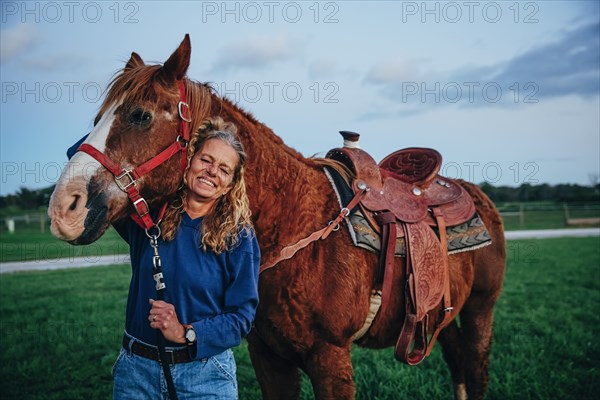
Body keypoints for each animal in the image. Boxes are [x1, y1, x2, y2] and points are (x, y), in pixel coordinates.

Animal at [49, 36, 504, 398]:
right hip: (440, 317)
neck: (291, 229)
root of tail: (477, 196)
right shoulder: (268, 356)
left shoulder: (330, 357)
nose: (64, 208)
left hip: (481, 310)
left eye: (140, 115)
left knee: (476, 371)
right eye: (95, 121)